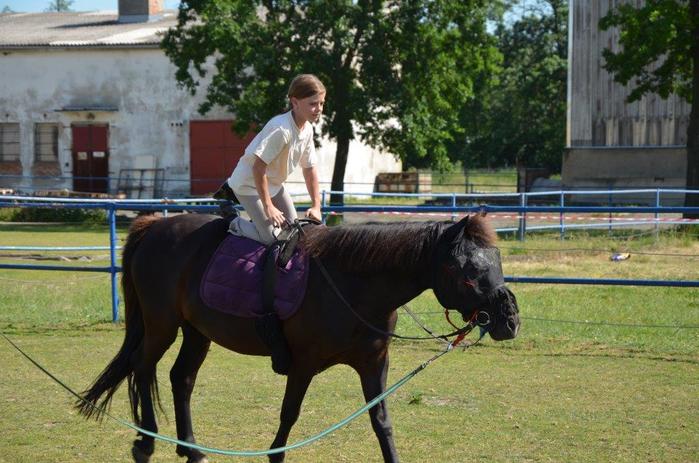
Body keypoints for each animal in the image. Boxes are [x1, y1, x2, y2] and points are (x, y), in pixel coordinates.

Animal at [76, 213, 520, 463]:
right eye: (468, 270)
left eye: (496, 259)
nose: (510, 320)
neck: (351, 283)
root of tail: (154, 225)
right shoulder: (303, 364)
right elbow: (288, 415)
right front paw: (274, 456)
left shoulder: (374, 364)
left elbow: (382, 421)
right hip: (161, 324)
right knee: (142, 367)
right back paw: (145, 443)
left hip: (196, 331)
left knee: (180, 379)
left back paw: (192, 450)